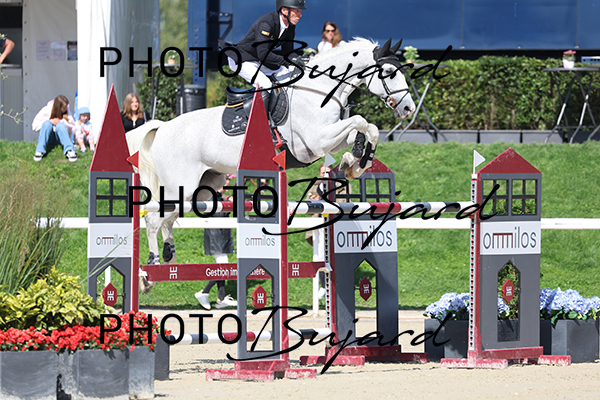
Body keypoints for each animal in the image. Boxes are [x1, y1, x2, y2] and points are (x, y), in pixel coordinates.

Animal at [126, 38, 415, 290]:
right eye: (389, 72)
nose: (408, 109)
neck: (320, 91)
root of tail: (163, 127)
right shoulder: (315, 141)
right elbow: (360, 121)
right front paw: (355, 161)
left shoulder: (328, 141)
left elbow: (367, 128)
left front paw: (354, 163)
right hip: (182, 187)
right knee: (153, 219)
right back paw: (149, 273)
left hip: (204, 188)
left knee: (167, 220)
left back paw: (168, 258)